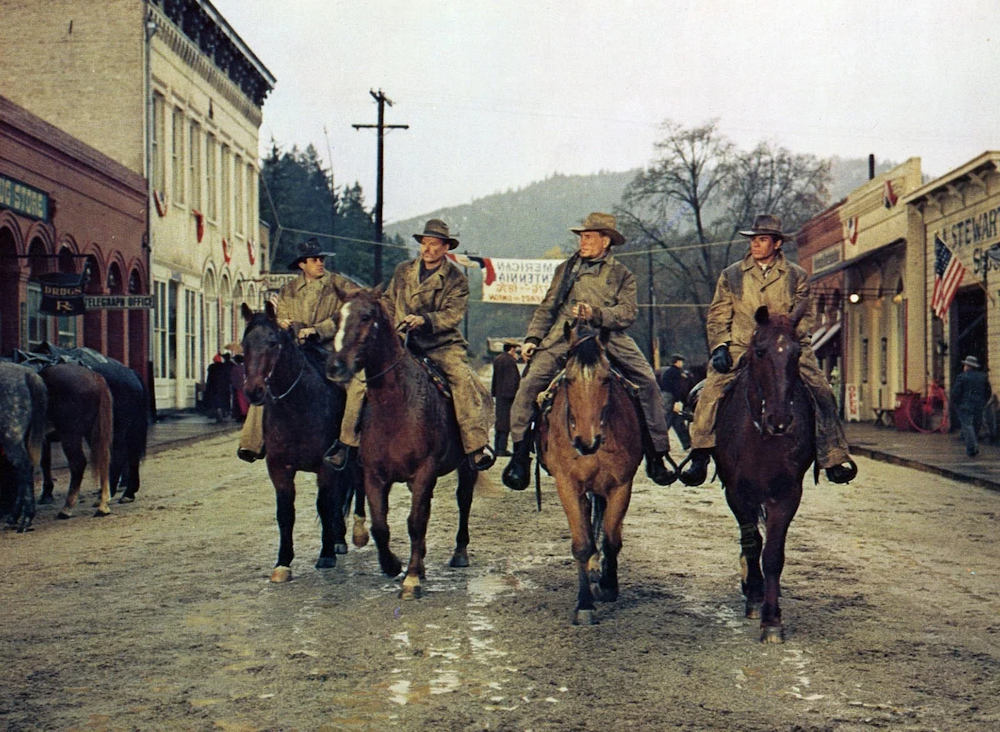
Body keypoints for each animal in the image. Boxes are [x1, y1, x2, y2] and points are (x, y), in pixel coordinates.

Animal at [37, 363, 114, 518]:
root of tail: (94, 377)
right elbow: (45, 462)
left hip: (70, 435)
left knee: (78, 464)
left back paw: (67, 508)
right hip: (92, 432)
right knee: (103, 459)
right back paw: (103, 503)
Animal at [240, 302, 366, 583]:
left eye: (273, 342)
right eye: (244, 345)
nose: (253, 391)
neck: (297, 406)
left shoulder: (326, 465)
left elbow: (324, 503)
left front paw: (326, 554)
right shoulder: (279, 468)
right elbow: (285, 513)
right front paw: (283, 563)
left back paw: (356, 533)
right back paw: (340, 538)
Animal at [325, 287, 477, 600]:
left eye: (366, 316)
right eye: (337, 318)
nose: (335, 366)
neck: (396, 404)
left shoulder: (423, 472)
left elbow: (415, 522)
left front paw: (411, 579)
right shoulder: (374, 476)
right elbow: (380, 526)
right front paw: (393, 565)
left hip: (467, 466)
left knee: (463, 500)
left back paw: (459, 553)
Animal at [537, 322, 644, 625]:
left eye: (606, 379)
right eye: (569, 379)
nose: (587, 441)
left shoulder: (621, 485)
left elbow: (612, 539)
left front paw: (608, 586)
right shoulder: (568, 486)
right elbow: (582, 543)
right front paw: (584, 604)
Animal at [712, 303, 814, 643]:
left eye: (797, 352)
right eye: (759, 351)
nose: (780, 420)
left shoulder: (787, 494)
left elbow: (773, 554)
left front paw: (772, 620)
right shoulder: (736, 492)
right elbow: (752, 542)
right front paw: (756, 598)